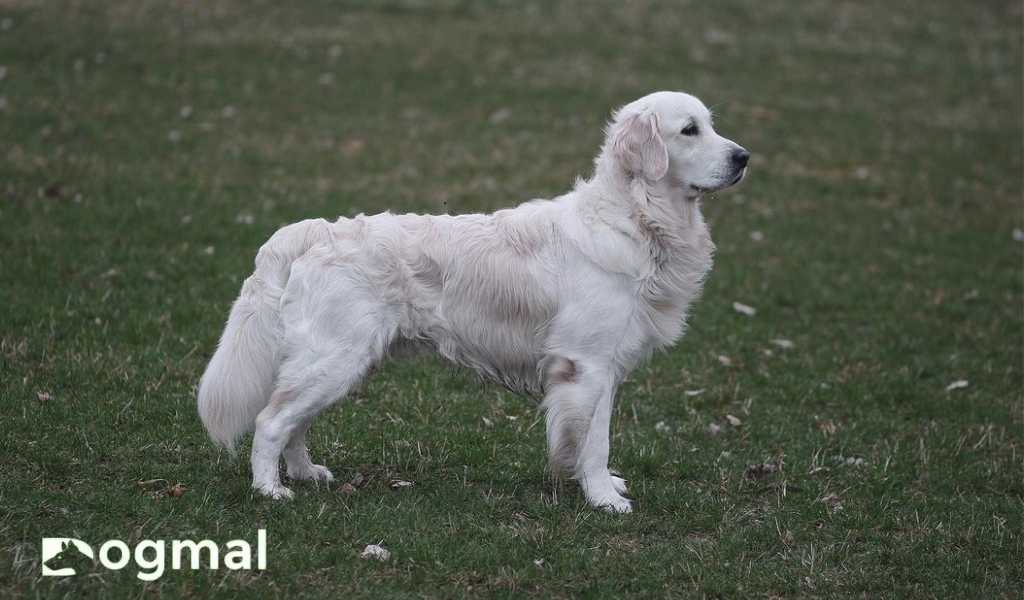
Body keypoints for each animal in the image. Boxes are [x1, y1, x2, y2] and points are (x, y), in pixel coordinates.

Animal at [197, 91, 745, 511]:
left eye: (712, 125)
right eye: (689, 130)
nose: (743, 157)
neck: (635, 218)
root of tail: (310, 231)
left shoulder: (604, 368)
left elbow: (598, 439)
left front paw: (604, 485)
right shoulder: (585, 365)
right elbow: (593, 443)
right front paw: (604, 500)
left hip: (337, 364)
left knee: (293, 424)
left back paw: (306, 473)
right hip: (334, 360)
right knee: (270, 421)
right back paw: (269, 490)